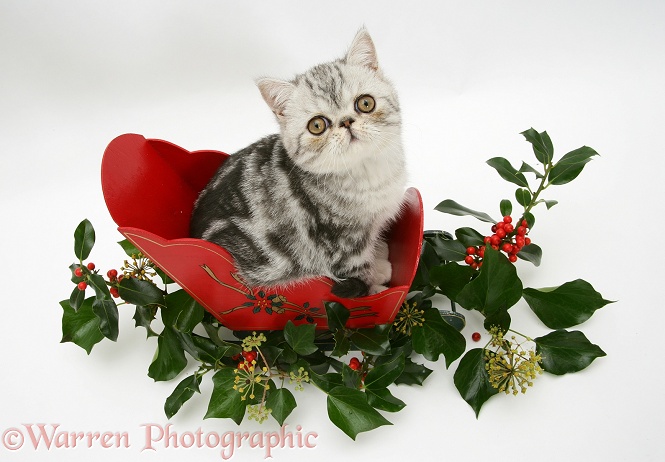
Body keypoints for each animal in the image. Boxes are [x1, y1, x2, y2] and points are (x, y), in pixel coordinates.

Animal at [187, 28, 404, 298]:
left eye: (365, 103)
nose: (346, 122)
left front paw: (380, 257)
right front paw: (376, 286)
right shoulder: (341, 243)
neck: (367, 172)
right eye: (317, 125)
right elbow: (358, 271)